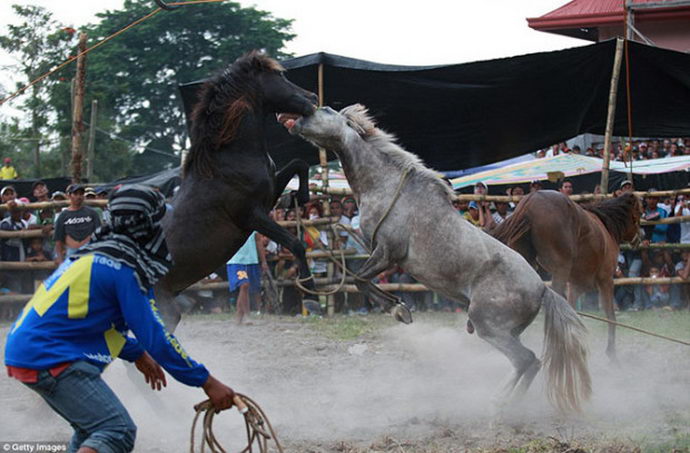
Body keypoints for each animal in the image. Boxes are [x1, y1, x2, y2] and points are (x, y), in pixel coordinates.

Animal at [288, 104, 588, 412]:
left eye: (325, 110)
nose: (296, 120)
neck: (385, 187)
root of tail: (542, 288)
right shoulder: (376, 251)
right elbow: (361, 275)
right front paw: (398, 305)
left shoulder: (387, 252)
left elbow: (359, 279)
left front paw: (399, 310)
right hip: (506, 330)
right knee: (526, 362)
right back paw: (501, 398)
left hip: (488, 325)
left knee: (527, 359)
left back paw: (502, 403)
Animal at [492, 189, 644, 358]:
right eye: (639, 212)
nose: (639, 239)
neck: (607, 227)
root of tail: (530, 203)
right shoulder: (606, 280)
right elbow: (611, 315)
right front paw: (611, 353)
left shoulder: (575, 286)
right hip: (560, 271)